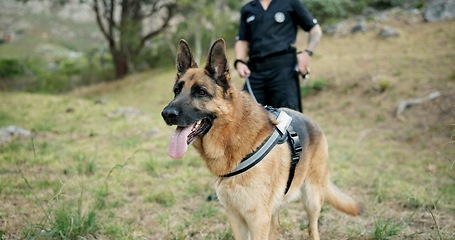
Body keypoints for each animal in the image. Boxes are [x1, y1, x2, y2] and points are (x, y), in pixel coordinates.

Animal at [162, 38, 362, 239]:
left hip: (311, 199)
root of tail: (313, 122)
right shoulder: (236, 218)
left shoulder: (257, 219)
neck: (233, 134)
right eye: (176, 91)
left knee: (312, 227)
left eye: (201, 92)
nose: (166, 114)